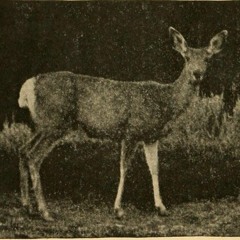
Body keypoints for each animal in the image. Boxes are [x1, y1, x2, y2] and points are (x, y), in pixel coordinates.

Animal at [17, 26, 228, 221]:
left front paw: (161, 208)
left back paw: (27, 207)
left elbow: (154, 168)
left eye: (207, 59)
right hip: (54, 122)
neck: (165, 102)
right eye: (187, 58)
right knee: (34, 156)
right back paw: (45, 212)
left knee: (23, 150)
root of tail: (27, 88)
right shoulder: (131, 131)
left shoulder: (151, 137)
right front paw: (118, 209)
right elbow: (124, 169)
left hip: (42, 125)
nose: (197, 73)